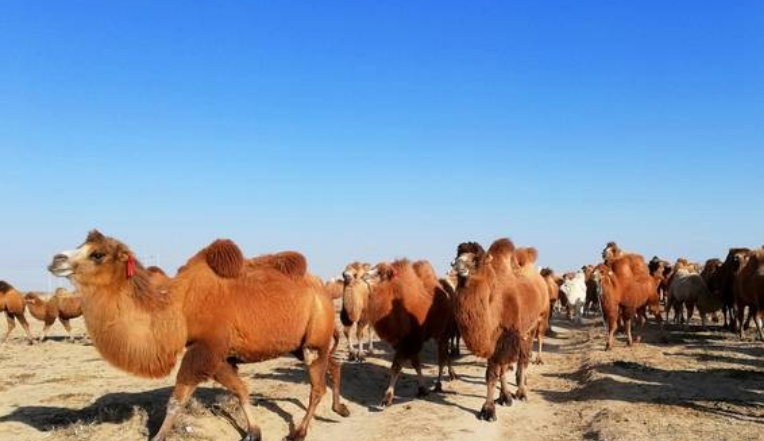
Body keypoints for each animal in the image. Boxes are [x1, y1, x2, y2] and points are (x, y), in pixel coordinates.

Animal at [52, 230, 350, 440]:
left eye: (97, 254)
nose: (56, 259)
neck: (179, 308)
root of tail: (323, 291)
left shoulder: (205, 349)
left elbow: (177, 400)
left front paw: (158, 437)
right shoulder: (219, 356)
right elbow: (241, 390)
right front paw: (253, 433)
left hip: (314, 338)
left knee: (317, 387)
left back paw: (299, 432)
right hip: (300, 344)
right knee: (333, 364)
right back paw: (340, 408)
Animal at [366, 258, 456, 406]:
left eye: (381, 273)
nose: (364, 275)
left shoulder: (411, 340)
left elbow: (396, 366)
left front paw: (387, 398)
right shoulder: (401, 342)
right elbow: (415, 364)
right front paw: (422, 389)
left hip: (444, 332)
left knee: (442, 357)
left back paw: (438, 384)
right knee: (446, 354)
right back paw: (451, 375)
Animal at [454, 239, 544, 422]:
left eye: (476, 260)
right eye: (458, 255)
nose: (458, 264)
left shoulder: (505, 337)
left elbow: (493, 373)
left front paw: (488, 410)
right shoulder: (494, 340)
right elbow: (498, 370)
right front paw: (504, 397)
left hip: (529, 329)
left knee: (524, 359)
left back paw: (522, 392)